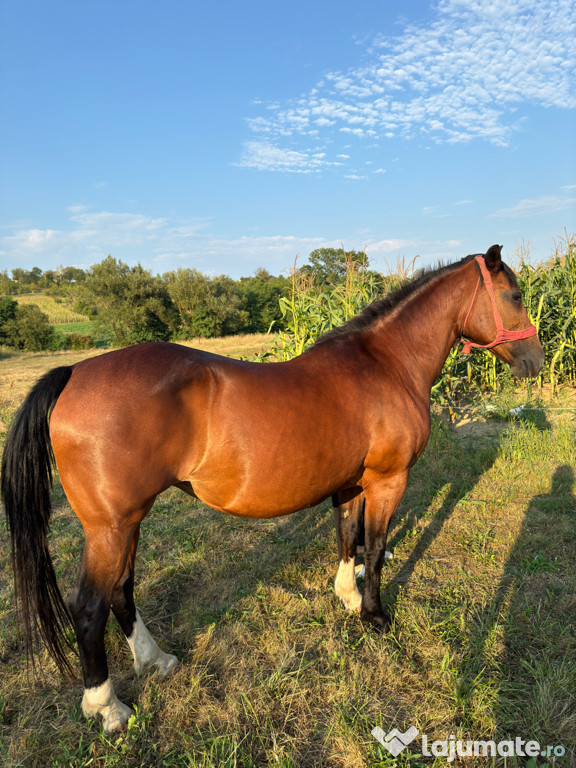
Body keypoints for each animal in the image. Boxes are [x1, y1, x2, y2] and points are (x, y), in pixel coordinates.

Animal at [1, 246, 544, 732]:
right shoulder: (387, 481)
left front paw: (347, 598)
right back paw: (108, 708)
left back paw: (155, 661)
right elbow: (374, 547)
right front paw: (374, 616)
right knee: (89, 609)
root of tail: (74, 372)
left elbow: (347, 538)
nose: (536, 361)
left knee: (121, 591)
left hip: (128, 522)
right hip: (109, 527)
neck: (386, 363)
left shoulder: (351, 483)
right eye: (515, 295)